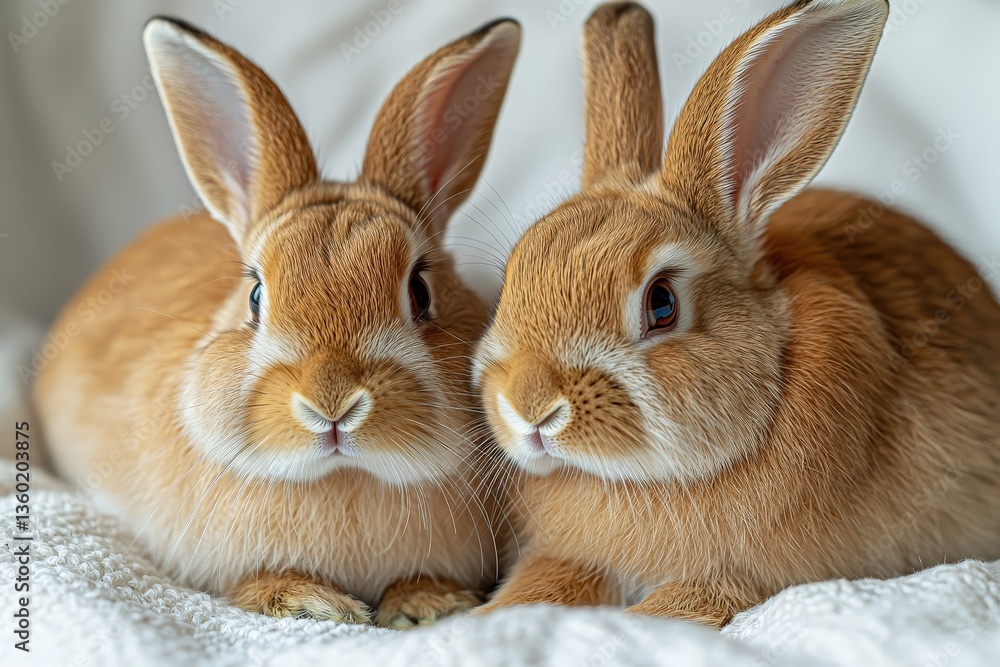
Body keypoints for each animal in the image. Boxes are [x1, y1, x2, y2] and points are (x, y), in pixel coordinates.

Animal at [32, 15, 521, 628]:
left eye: (420, 291)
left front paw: (427, 605)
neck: (343, 476)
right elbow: (254, 585)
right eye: (255, 297)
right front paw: (316, 606)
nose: (331, 403)